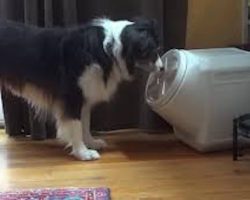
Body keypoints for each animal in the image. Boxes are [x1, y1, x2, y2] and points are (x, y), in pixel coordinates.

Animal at [0, 17, 163, 161]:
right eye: (151, 50)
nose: (162, 68)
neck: (108, 49)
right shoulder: (73, 95)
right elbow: (77, 125)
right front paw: (83, 153)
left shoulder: (85, 95)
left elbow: (85, 123)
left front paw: (91, 143)